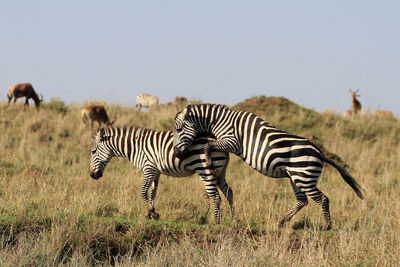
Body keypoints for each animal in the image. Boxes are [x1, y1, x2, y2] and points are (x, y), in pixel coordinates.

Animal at [89, 125, 233, 224]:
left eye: (93, 151)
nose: (92, 175)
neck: (135, 147)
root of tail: (218, 140)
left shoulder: (149, 168)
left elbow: (143, 191)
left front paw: (153, 212)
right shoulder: (156, 171)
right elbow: (152, 193)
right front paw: (150, 213)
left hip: (205, 170)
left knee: (215, 197)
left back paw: (216, 222)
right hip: (220, 172)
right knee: (229, 192)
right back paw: (233, 218)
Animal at [173, 103, 364, 231]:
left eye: (179, 129)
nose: (176, 153)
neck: (221, 121)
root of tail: (321, 153)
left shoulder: (232, 141)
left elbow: (207, 146)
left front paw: (209, 163)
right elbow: (209, 144)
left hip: (304, 176)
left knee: (323, 199)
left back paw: (326, 226)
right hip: (296, 177)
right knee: (302, 201)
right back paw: (281, 221)